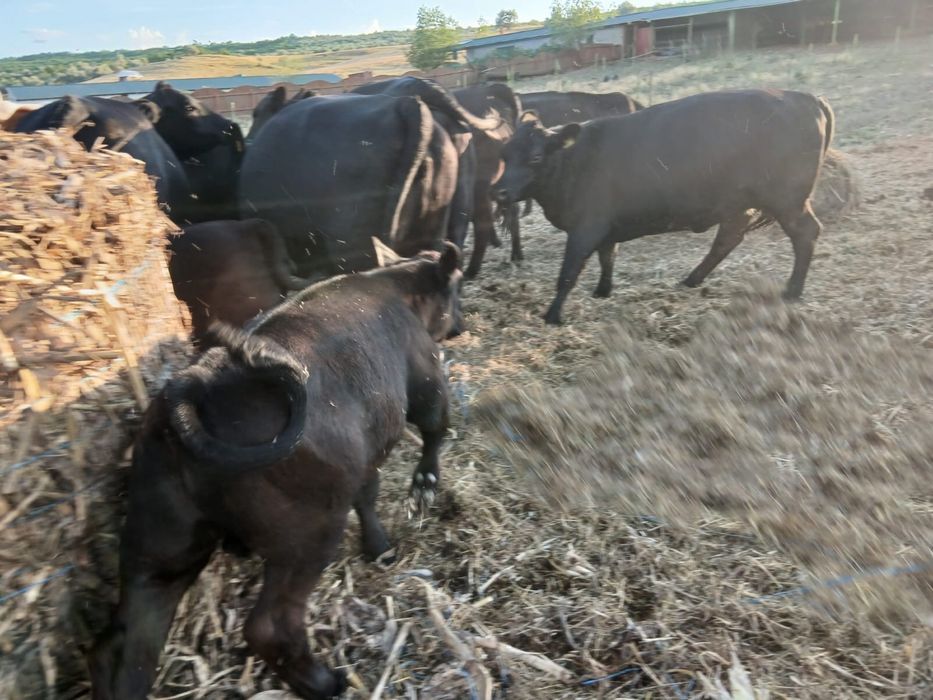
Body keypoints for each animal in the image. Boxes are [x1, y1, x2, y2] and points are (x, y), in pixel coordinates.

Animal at [89, 243, 463, 700]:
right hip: (309, 535)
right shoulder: (424, 383)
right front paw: (422, 489)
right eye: (456, 292)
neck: (398, 288)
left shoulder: (360, 454)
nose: (461, 324)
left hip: (159, 550)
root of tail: (193, 386)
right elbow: (434, 430)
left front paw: (379, 546)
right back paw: (325, 683)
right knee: (269, 625)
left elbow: (367, 493)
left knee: (123, 646)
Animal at [452, 83, 523, 277]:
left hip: (479, 187)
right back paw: (516, 253)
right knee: (511, 211)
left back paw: (471, 270)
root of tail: (488, 90)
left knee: (483, 222)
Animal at [495, 89, 834, 325]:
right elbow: (608, 257)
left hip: (787, 200)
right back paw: (692, 279)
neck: (573, 160)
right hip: (739, 202)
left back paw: (792, 290)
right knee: (728, 238)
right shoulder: (606, 227)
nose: (499, 192)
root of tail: (805, 97)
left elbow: (568, 272)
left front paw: (552, 315)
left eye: (536, 157)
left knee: (805, 233)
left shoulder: (585, 228)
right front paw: (603, 291)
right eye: (505, 155)